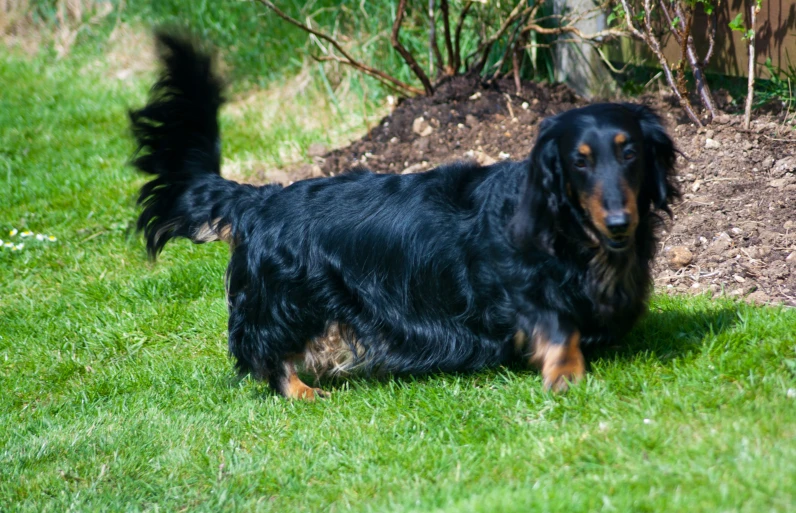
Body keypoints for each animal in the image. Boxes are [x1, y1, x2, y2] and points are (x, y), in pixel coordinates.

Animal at [129, 33, 676, 400]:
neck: (568, 231)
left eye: (629, 153)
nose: (619, 223)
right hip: (290, 298)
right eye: (579, 161)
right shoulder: (513, 286)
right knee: (267, 351)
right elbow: (557, 324)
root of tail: (261, 199)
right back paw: (302, 391)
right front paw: (566, 374)